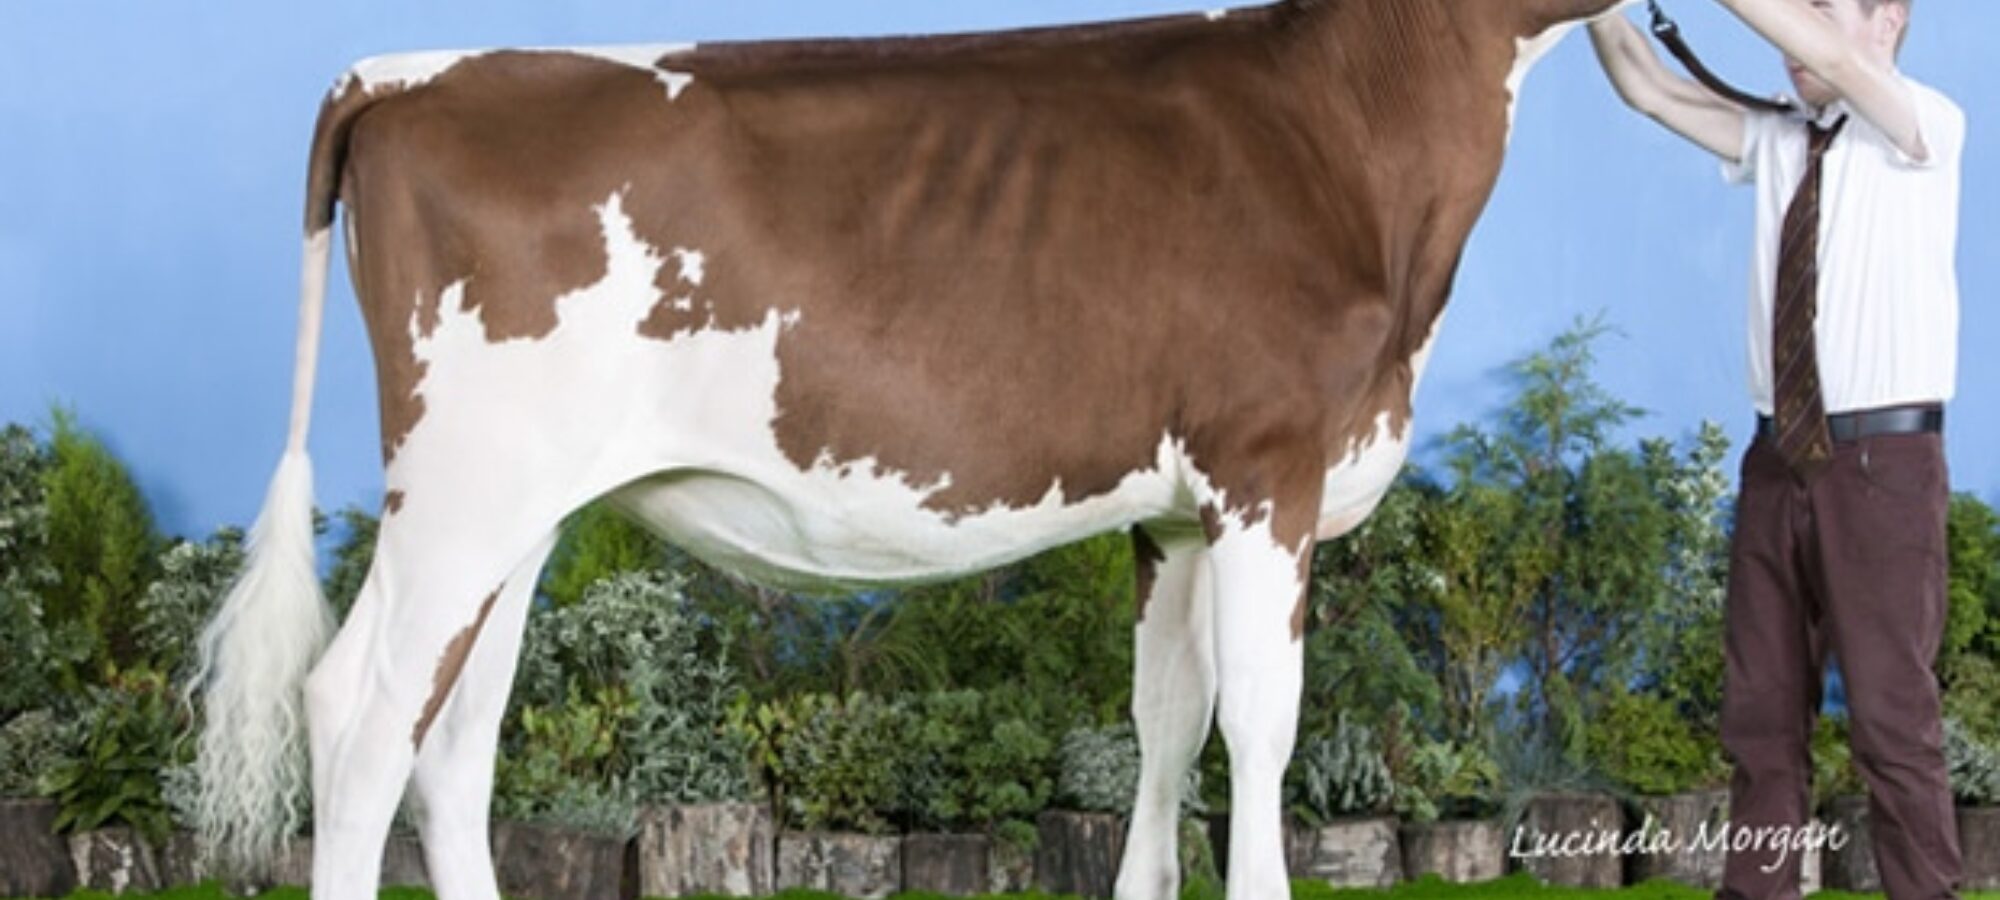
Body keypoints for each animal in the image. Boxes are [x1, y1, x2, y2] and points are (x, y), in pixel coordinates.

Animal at [191, 1, 1630, 897]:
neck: (1348, 129)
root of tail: (406, 75)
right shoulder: (1263, 468)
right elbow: (1261, 731)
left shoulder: (1171, 508)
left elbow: (1167, 727)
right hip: (460, 497)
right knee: (358, 716)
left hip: (514, 515)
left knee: (451, 740)